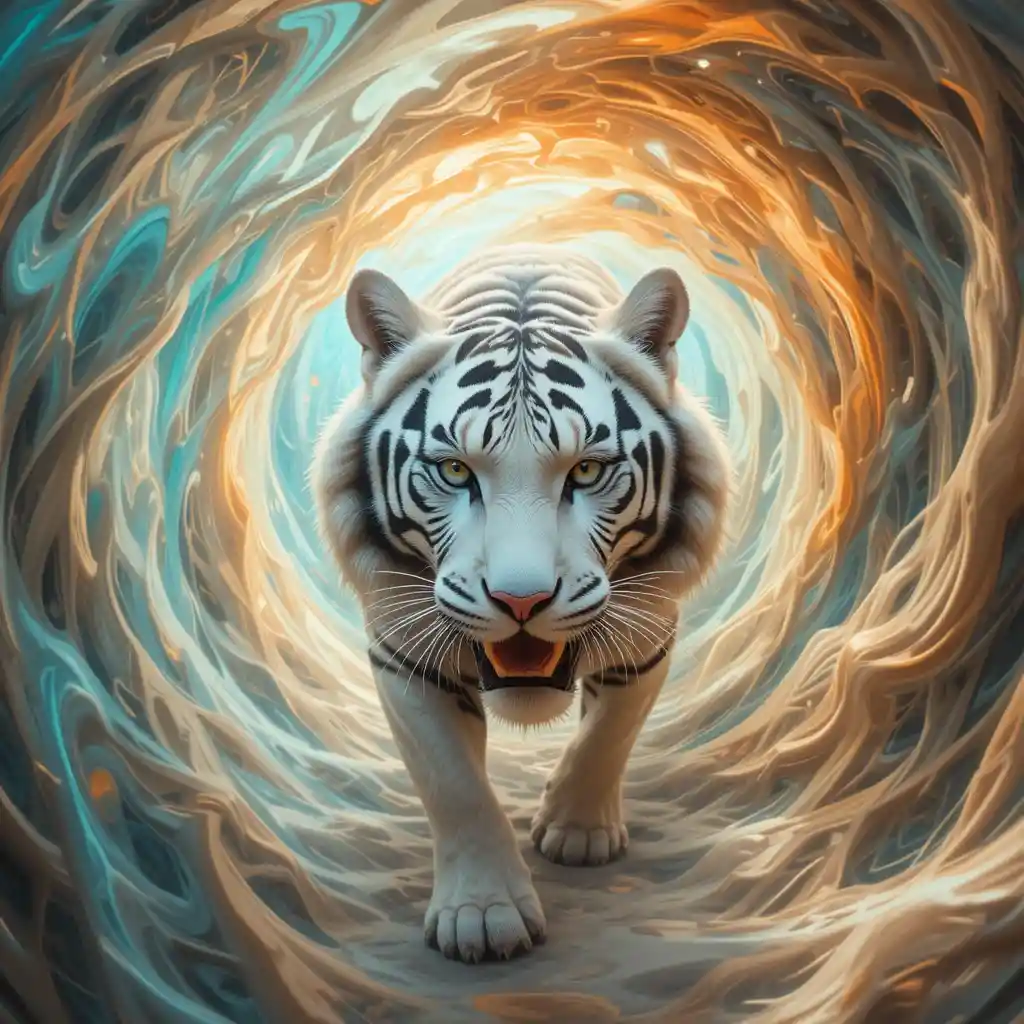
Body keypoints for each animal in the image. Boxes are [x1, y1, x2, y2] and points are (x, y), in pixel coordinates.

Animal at [312, 244, 730, 964]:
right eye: (454, 470)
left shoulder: (650, 632)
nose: (521, 599)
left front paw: (578, 834)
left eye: (587, 470)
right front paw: (482, 917)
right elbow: (453, 785)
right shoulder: (403, 655)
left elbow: (609, 733)